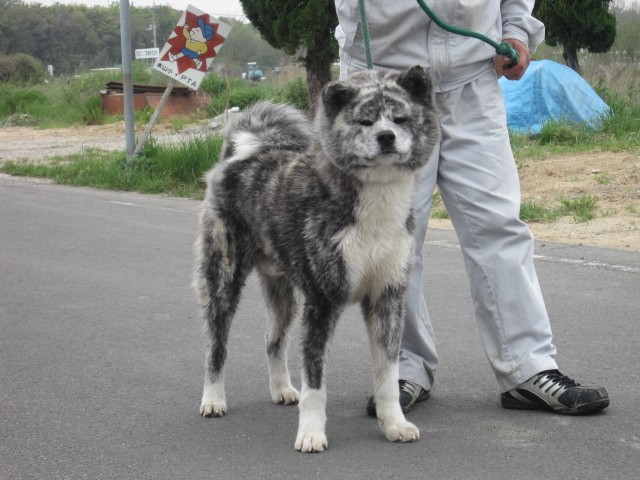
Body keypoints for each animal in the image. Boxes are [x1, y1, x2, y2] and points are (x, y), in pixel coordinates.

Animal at [194, 63, 440, 450]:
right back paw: (213, 399)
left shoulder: (386, 299)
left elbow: (387, 376)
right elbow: (316, 383)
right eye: (365, 121)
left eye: (400, 118)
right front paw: (311, 433)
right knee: (216, 345)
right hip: (223, 280)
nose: (386, 137)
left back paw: (281, 389)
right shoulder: (322, 304)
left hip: (283, 294)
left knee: (272, 341)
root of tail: (240, 156)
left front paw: (394, 424)